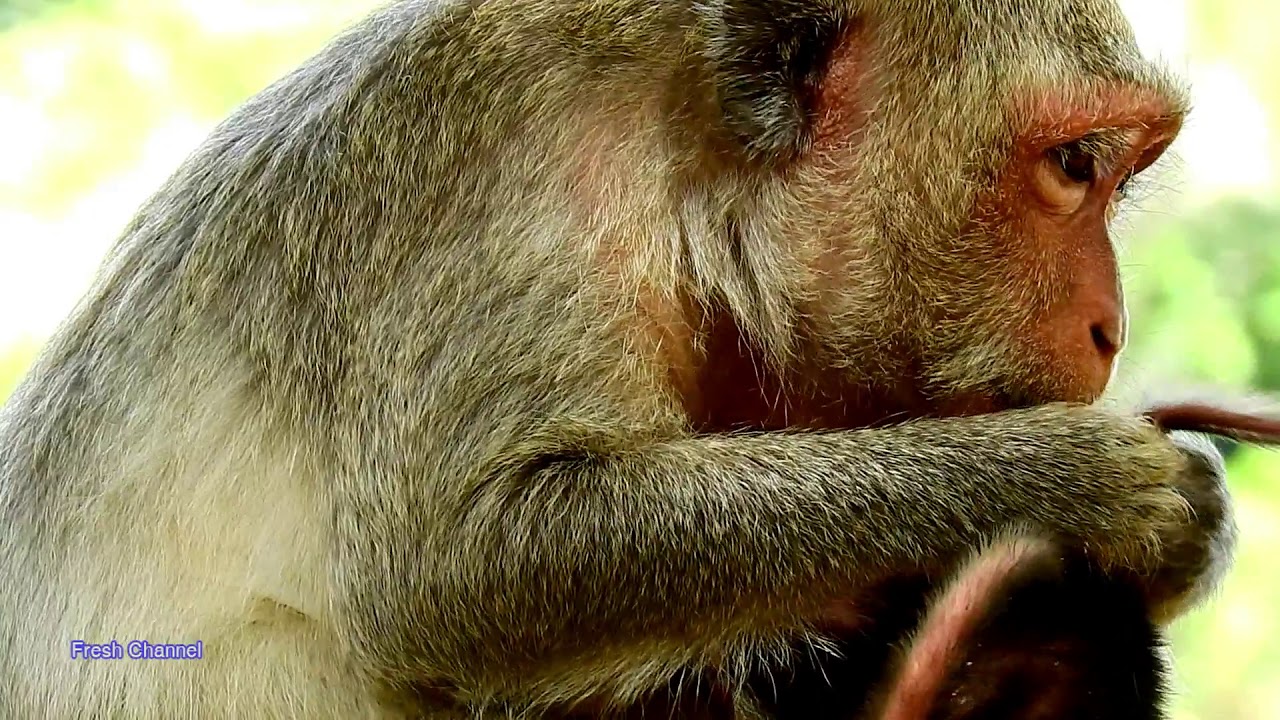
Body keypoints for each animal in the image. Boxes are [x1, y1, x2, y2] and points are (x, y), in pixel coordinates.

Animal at [0, 0, 1237, 718]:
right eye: (1074, 165)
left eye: (1120, 174)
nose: (1110, 325)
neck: (691, 180)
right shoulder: (507, 182)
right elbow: (459, 564)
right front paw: (1087, 483)